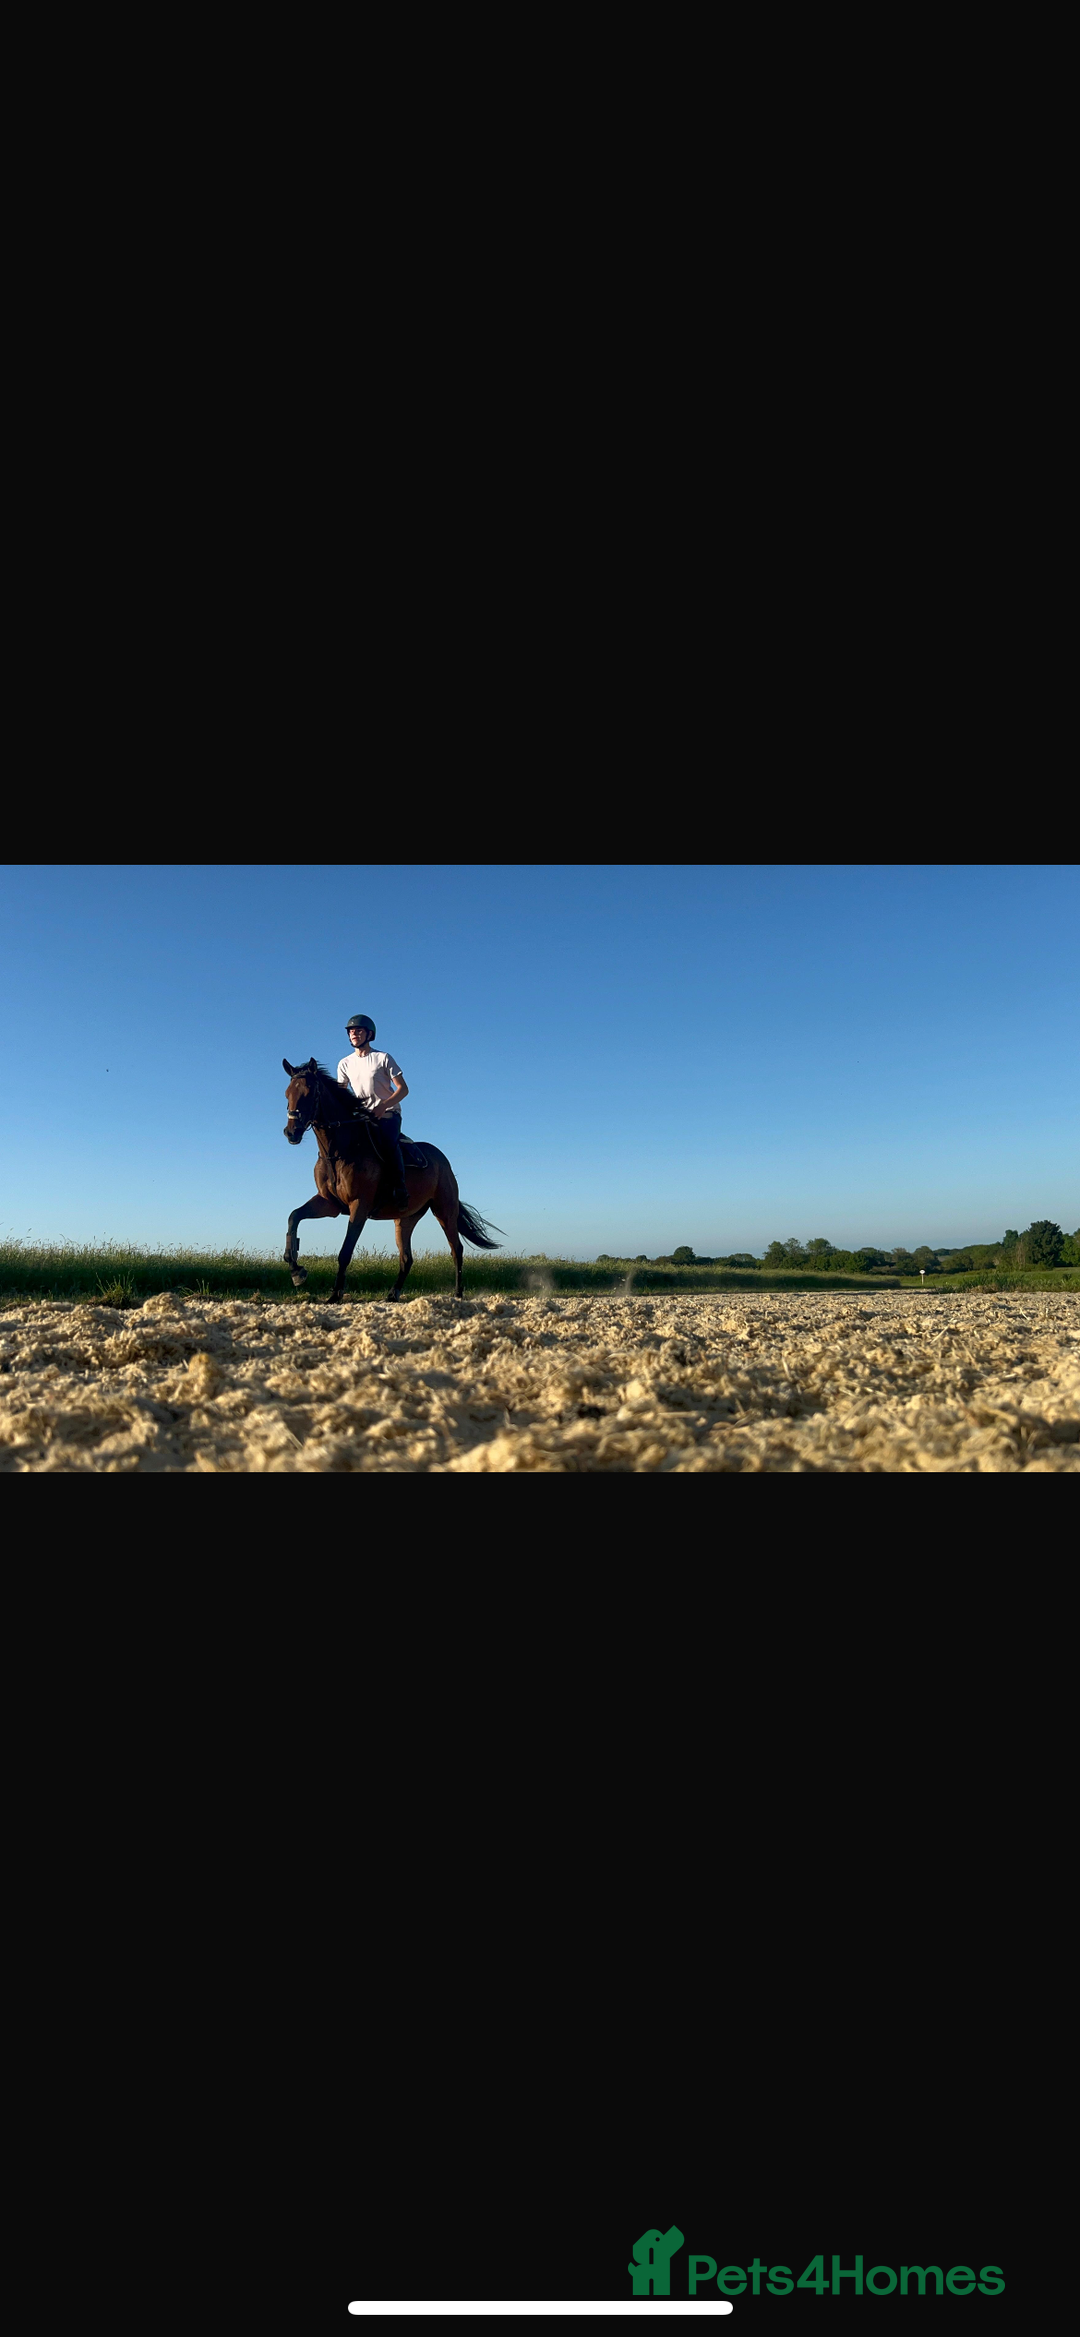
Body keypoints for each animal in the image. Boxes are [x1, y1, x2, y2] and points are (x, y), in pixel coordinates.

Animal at [282, 1058, 502, 1301]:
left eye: (310, 1092)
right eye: (287, 1093)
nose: (291, 1132)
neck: (340, 1151)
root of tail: (443, 1160)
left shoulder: (359, 1205)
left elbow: (345, 1251)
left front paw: (335, 1295)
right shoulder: (329, 1204)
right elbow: (294, 1217)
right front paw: (296, 1269)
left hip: (445, 1210)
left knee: (456, 1249)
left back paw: (458, 1293)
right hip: (405, 1219)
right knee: (406, 1258)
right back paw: (393, 1293)